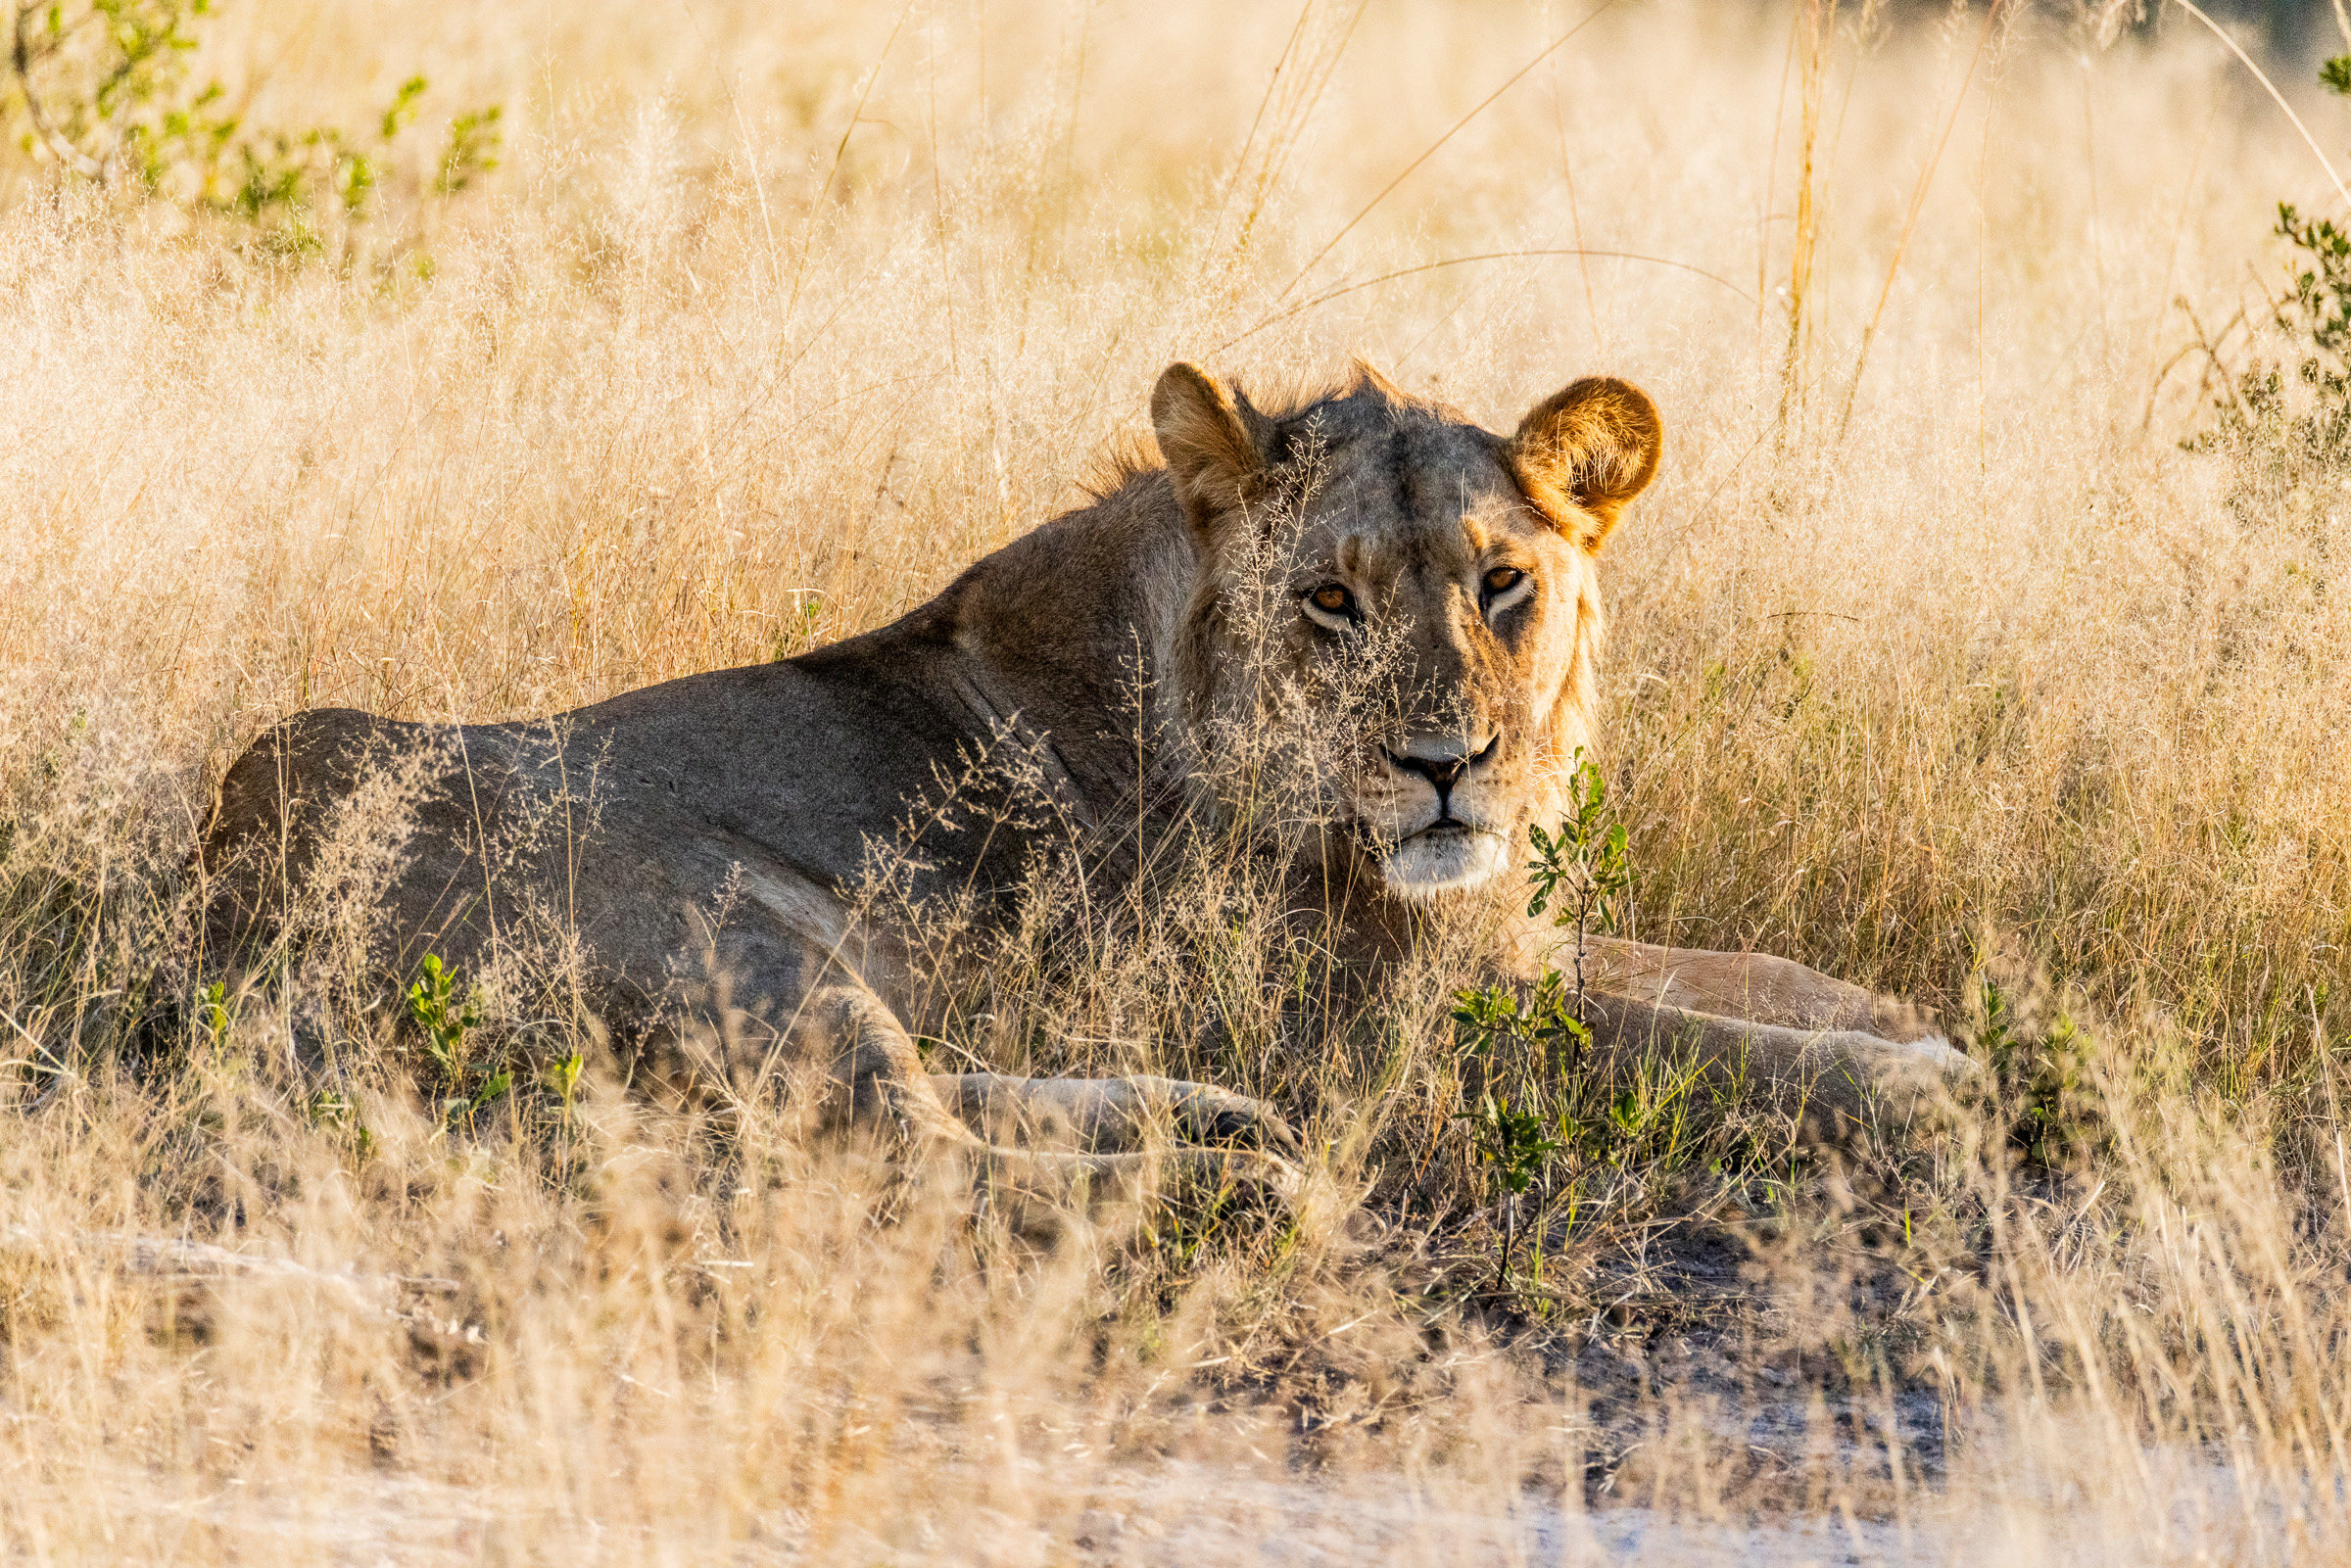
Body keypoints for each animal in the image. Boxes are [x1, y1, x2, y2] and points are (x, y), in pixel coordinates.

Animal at [197, 361, 1965, 1205]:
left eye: (1504, 583)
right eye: (1330, 599)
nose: (1447, 769)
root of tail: (234, 880)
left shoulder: (1490, 938)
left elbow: (1734, 971)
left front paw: (1898, 1020)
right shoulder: (1386, 1030)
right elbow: (1693, 1041)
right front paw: (1925, 1089)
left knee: (923, 1099)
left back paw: (1204, 1119)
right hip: (736, 924)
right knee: (898, 1151)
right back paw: (1223, 1182)